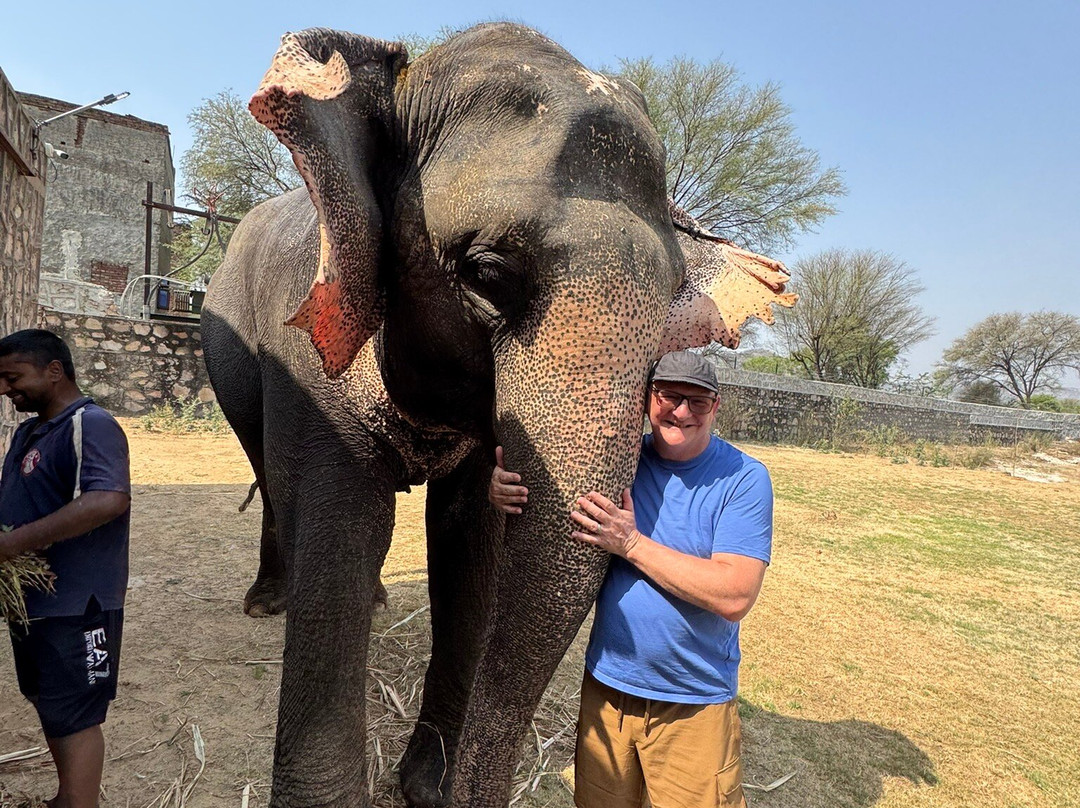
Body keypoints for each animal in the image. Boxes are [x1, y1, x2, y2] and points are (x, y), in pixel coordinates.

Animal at [201, 23, 795, 808]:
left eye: (674, 294)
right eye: (486, 273)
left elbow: (469, 536)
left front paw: (427, 782)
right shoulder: (308, 354)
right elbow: (341, 526)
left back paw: (377, 600)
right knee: (269, 472)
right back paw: (270, 601)